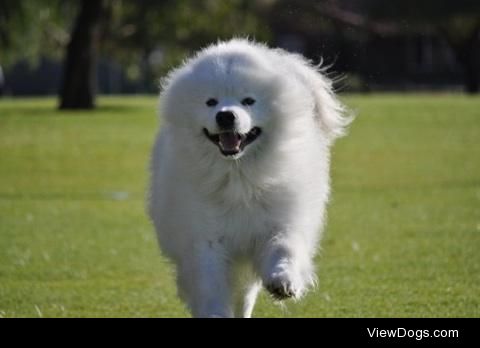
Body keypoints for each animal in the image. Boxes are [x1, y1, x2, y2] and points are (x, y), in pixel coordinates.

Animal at [148, 38, 350, 318]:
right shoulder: (204, 238)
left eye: (248, 101)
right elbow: (210, 282)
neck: (239, 176)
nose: (225, 115)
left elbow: (284, 247)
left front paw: (283, 281)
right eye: (210, 102)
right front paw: (214, 312)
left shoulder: (281, 221)